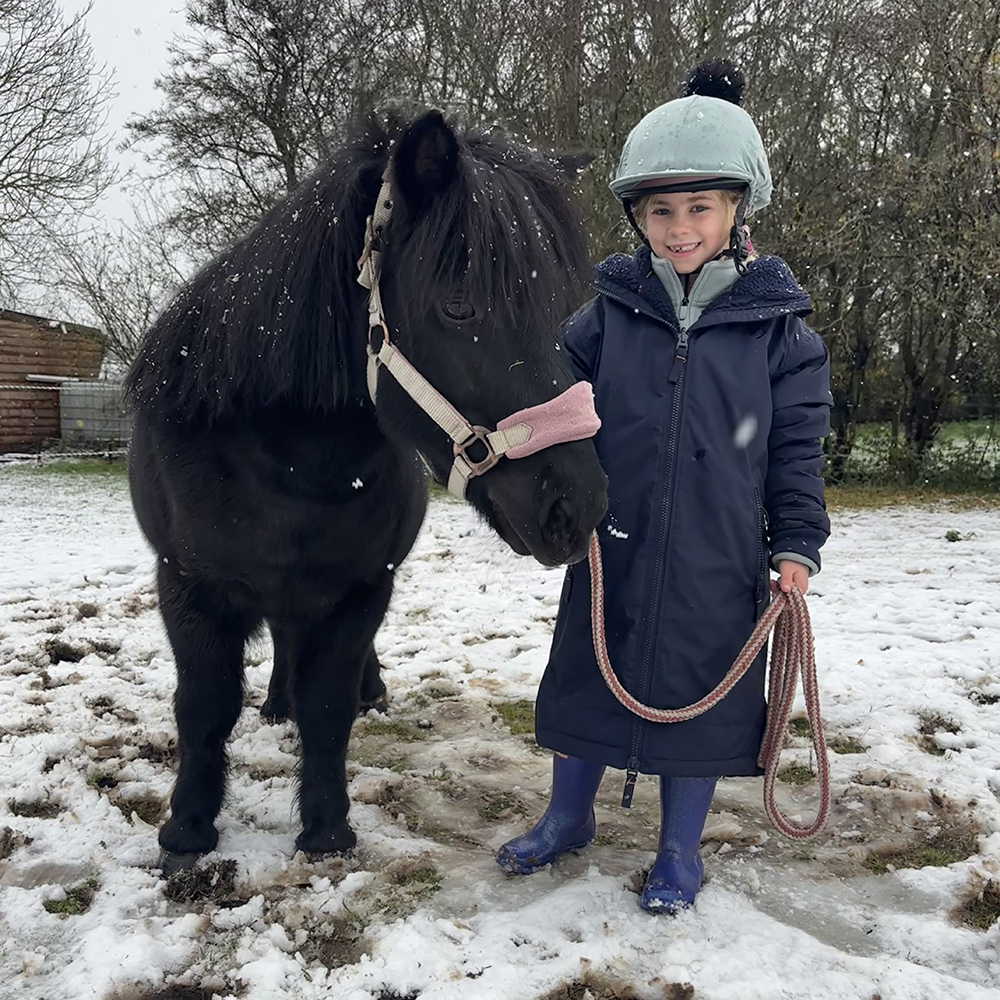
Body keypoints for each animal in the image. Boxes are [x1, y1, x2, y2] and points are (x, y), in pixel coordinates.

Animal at [124, 109, 609, 873]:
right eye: (459, 307)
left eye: (562, 309)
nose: (577, 507)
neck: (289, 468)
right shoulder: (186, 587)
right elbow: (203, 707)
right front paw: (188, 831)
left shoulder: (360, 589)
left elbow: (328, 708)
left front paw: (326, 832)